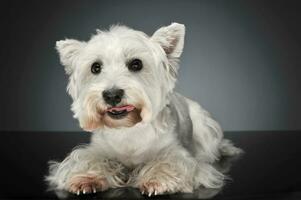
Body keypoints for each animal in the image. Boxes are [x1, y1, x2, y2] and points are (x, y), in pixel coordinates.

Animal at [45, 22, 240, 196]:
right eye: (95, 67)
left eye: (136, 64)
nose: (112, 95)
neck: (128, 129)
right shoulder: (96, 149)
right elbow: (89, 159)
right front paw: (86, 178)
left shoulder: (177, 154)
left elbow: (169, 162)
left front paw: (158, 180)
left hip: (205, 129)